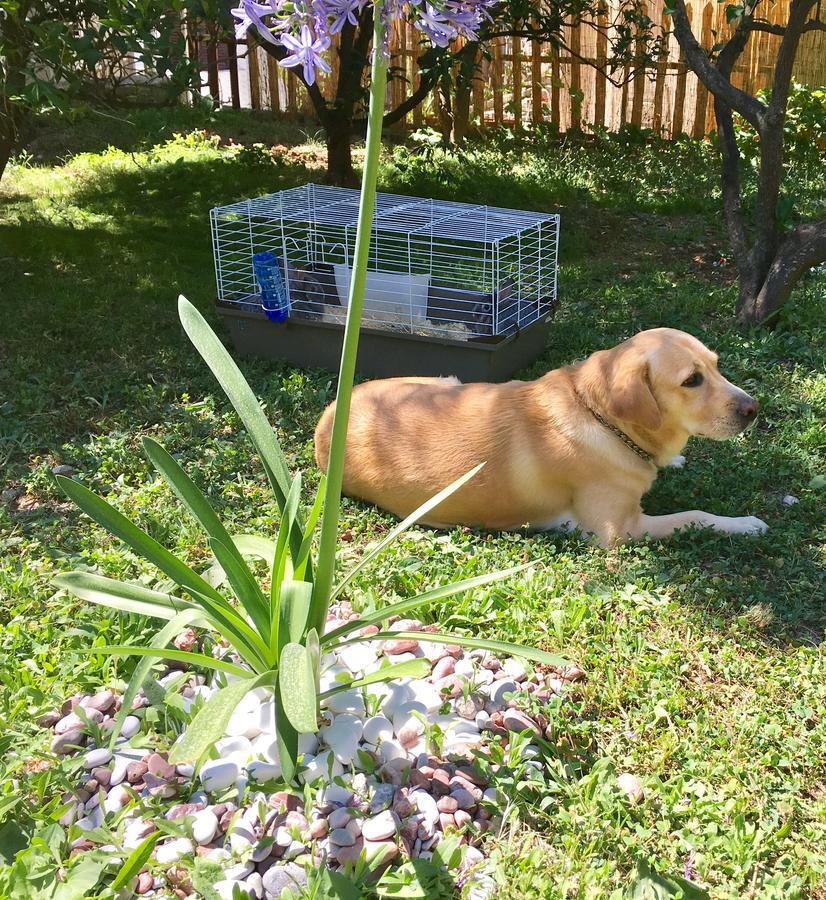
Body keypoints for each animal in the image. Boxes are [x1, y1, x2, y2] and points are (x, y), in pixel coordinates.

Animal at [316, 326, 768, 544]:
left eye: (716, 365)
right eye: (692, 380)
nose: (753, 409)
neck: (600, 417)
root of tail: (326, 420)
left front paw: (672, 458)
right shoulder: (618, 532)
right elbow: (695, 515)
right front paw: (744, 524)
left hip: (449, 381)